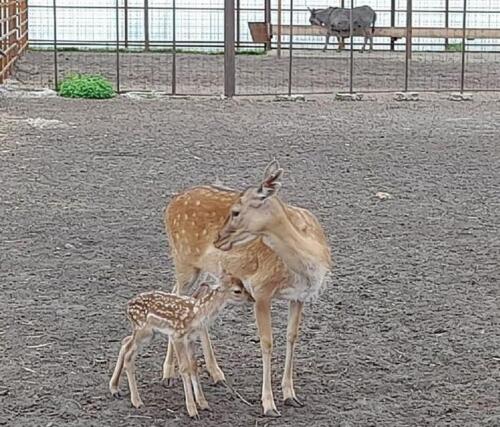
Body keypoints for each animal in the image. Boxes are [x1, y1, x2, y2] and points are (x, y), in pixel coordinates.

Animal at [161, 159, 332, 416]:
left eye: (236, 211)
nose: (218, 238)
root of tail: (170, 204)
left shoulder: (299, 296)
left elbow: (292, 336)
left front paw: (290, 395)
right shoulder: (261, 289)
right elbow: (267, 342)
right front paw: (268, 404)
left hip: (210, 270)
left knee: (197, 298)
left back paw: (216, 373)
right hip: (183, 261)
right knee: (176, 295)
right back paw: (168, 373)